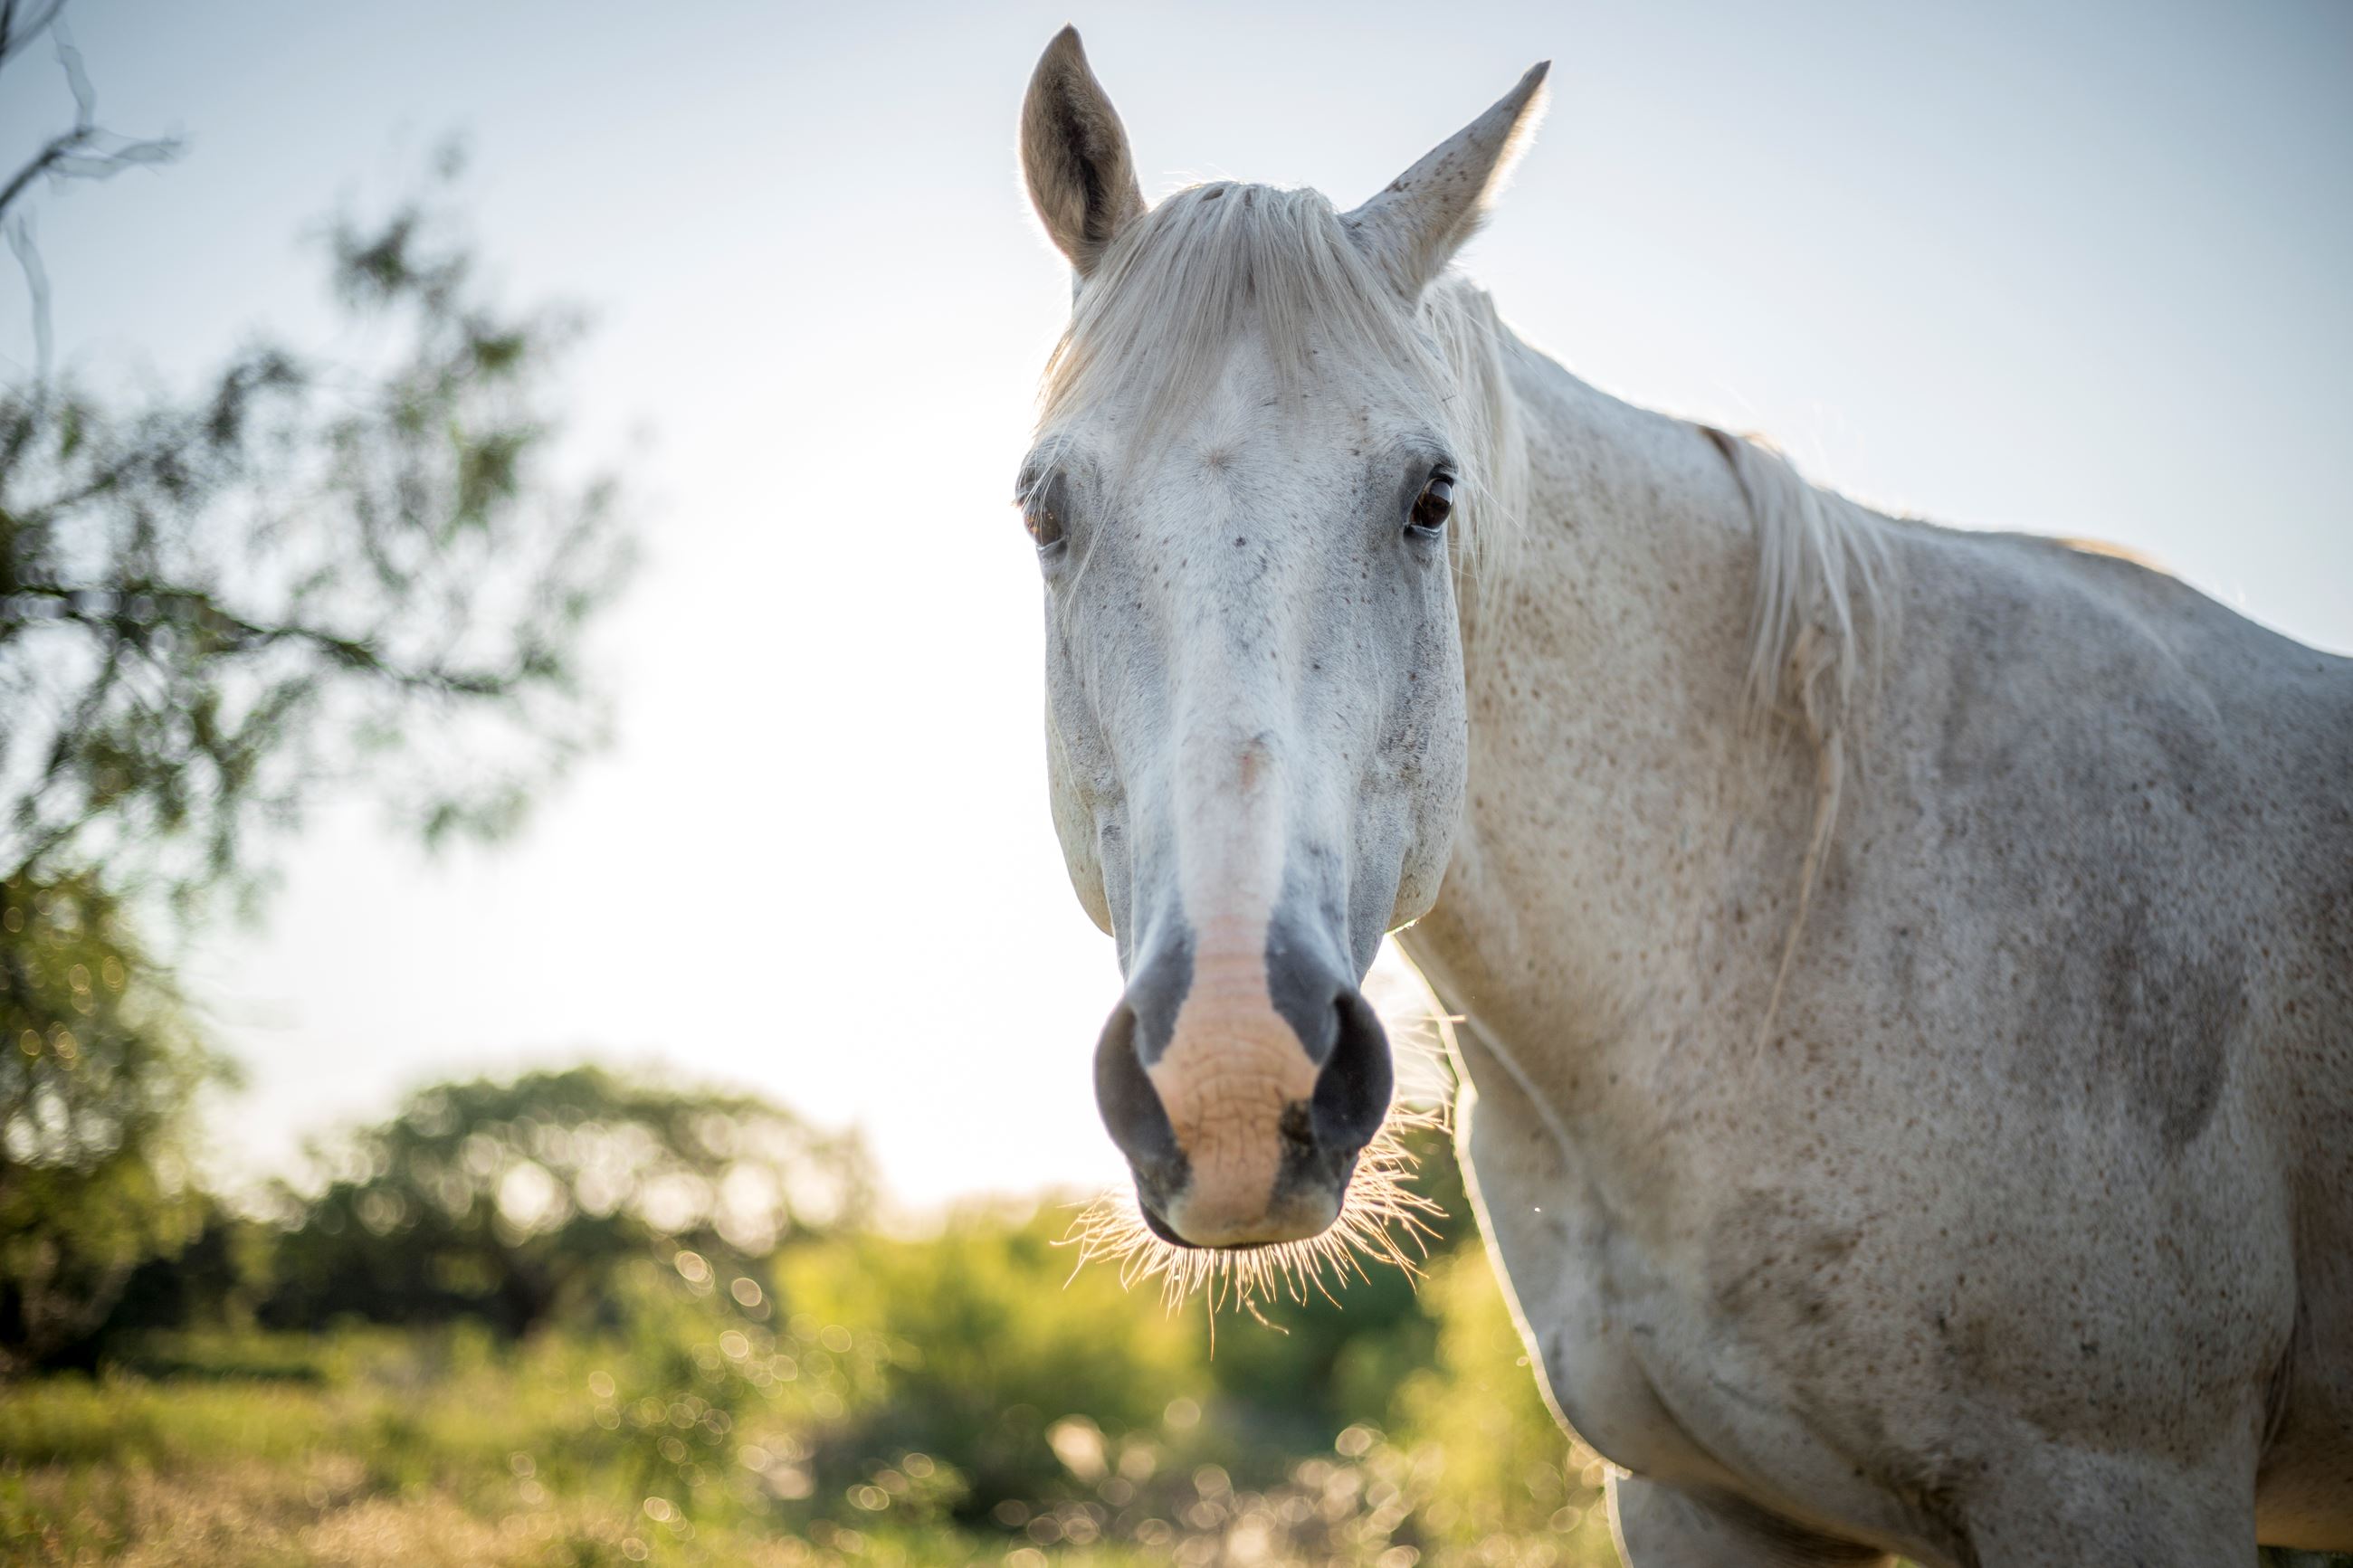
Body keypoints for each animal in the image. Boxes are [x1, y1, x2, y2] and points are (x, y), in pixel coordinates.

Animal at [1008, 27, 2353, 1565]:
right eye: (1043, 511)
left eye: (1430, 497)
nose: (1235, 1078)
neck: (1774, 930)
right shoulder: (1696, 1496)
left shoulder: (2114, 1478)